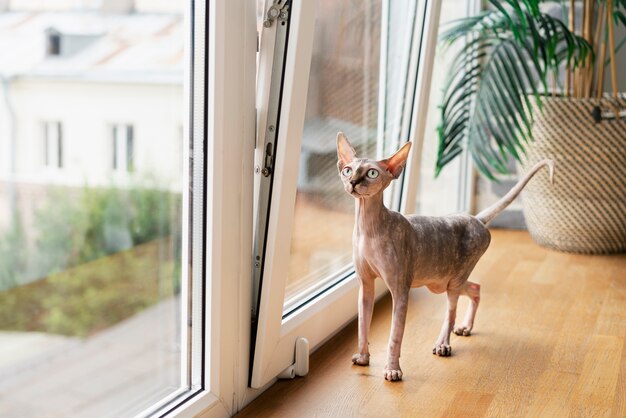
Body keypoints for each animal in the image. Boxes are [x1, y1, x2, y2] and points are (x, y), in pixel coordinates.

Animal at [336, 132, 552, 380]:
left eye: (372, 173)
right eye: (348, 170)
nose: (353, 182)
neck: (367, 229)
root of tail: (476, 218)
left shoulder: (400, 291)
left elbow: (394, 336)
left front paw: (392, 369)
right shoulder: (365, 286)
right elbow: (362, 326)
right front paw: (363, 358)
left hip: (453, 280)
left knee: (452, 310)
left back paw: (443, 344)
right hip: (440, 281)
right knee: (475, 288)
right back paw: (465, 328)